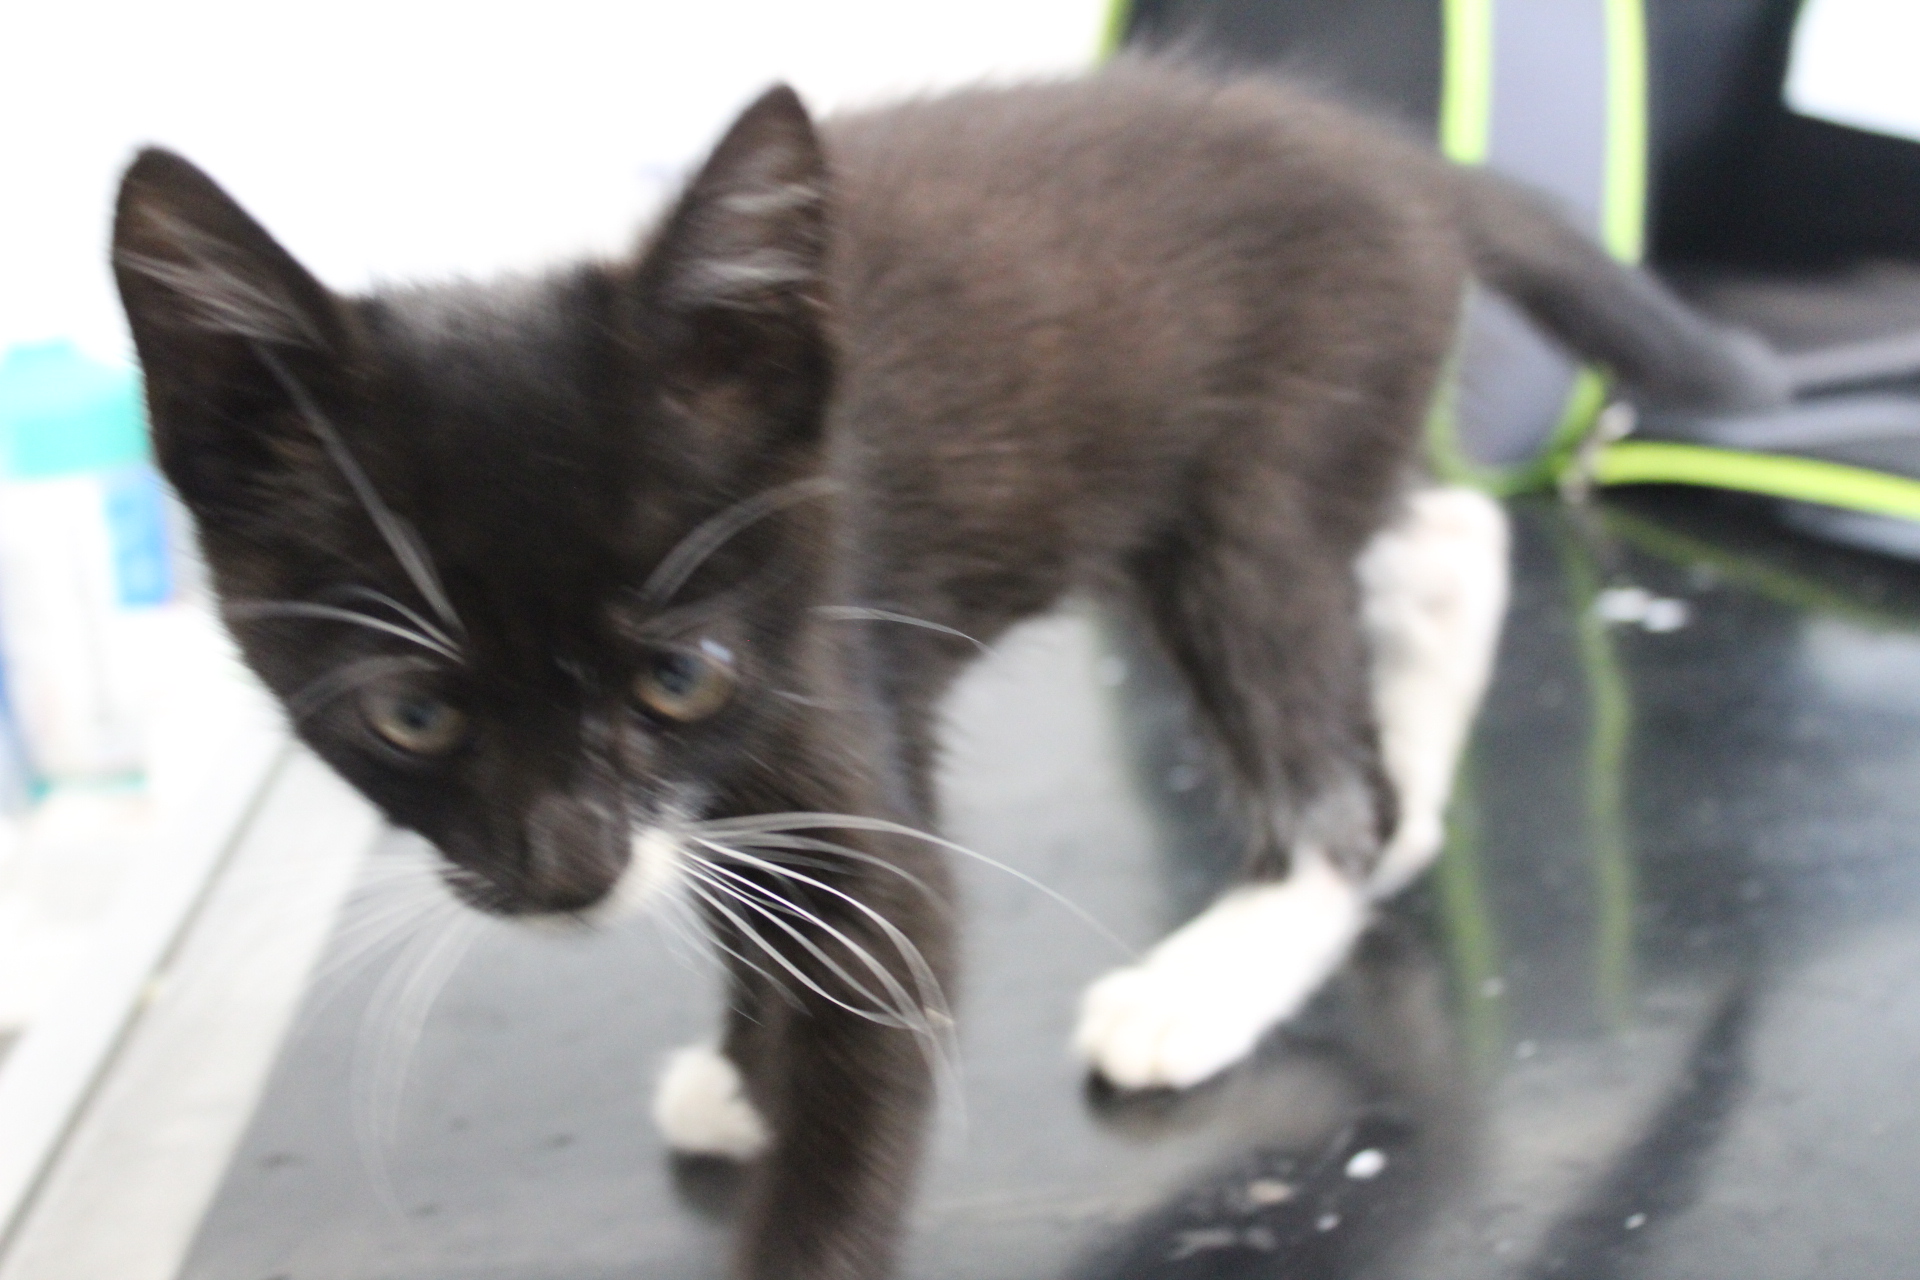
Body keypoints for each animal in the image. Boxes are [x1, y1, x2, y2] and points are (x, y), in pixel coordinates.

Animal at [111, 58, 1780, 1280]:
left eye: (679, 675)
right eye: (410, 713)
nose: (570, 869)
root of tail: (1391, 161)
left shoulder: (818, 656)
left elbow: (884, 962)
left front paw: (786, 1101)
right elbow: (758, 898)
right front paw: (747, 1060)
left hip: (1255, 474)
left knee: (1326, 706)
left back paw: (1234, 959)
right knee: (1437, 530)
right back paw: (1415, 797)